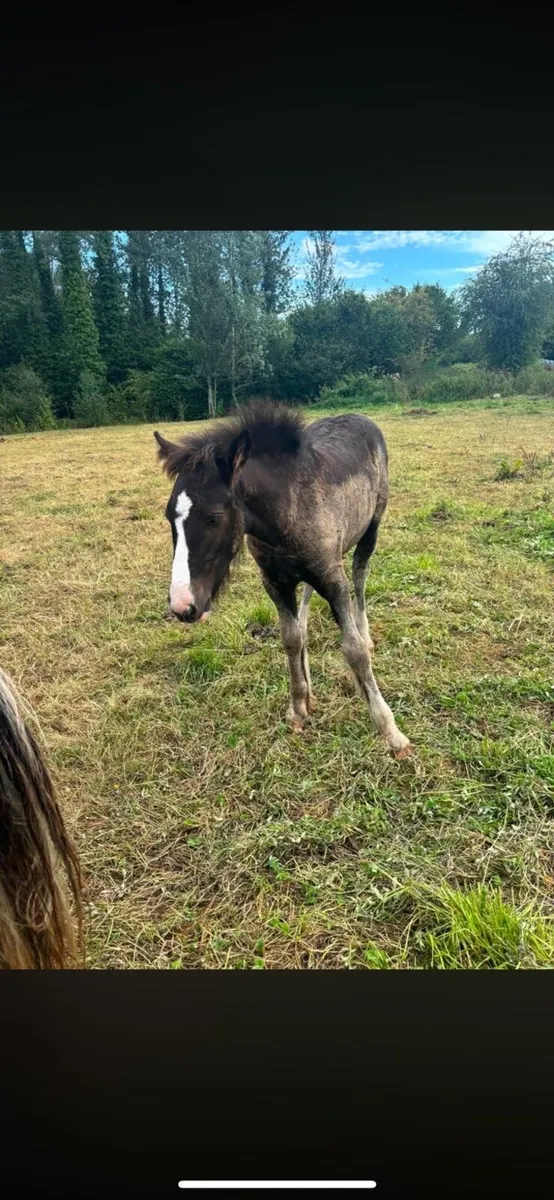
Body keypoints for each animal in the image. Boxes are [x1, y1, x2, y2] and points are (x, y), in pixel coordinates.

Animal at [154, 400, 410, 758]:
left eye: (214, 517)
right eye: (168, 516)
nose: (183, 606)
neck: (286, 509)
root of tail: (362, 418)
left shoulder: (334, 581)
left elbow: (354, 651)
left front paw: (390, 730)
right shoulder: (275, 584)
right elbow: (291, 639)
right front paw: (299, 706)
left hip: (370, 530)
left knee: (361, 575)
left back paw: (366, 630)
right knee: (307, 595)